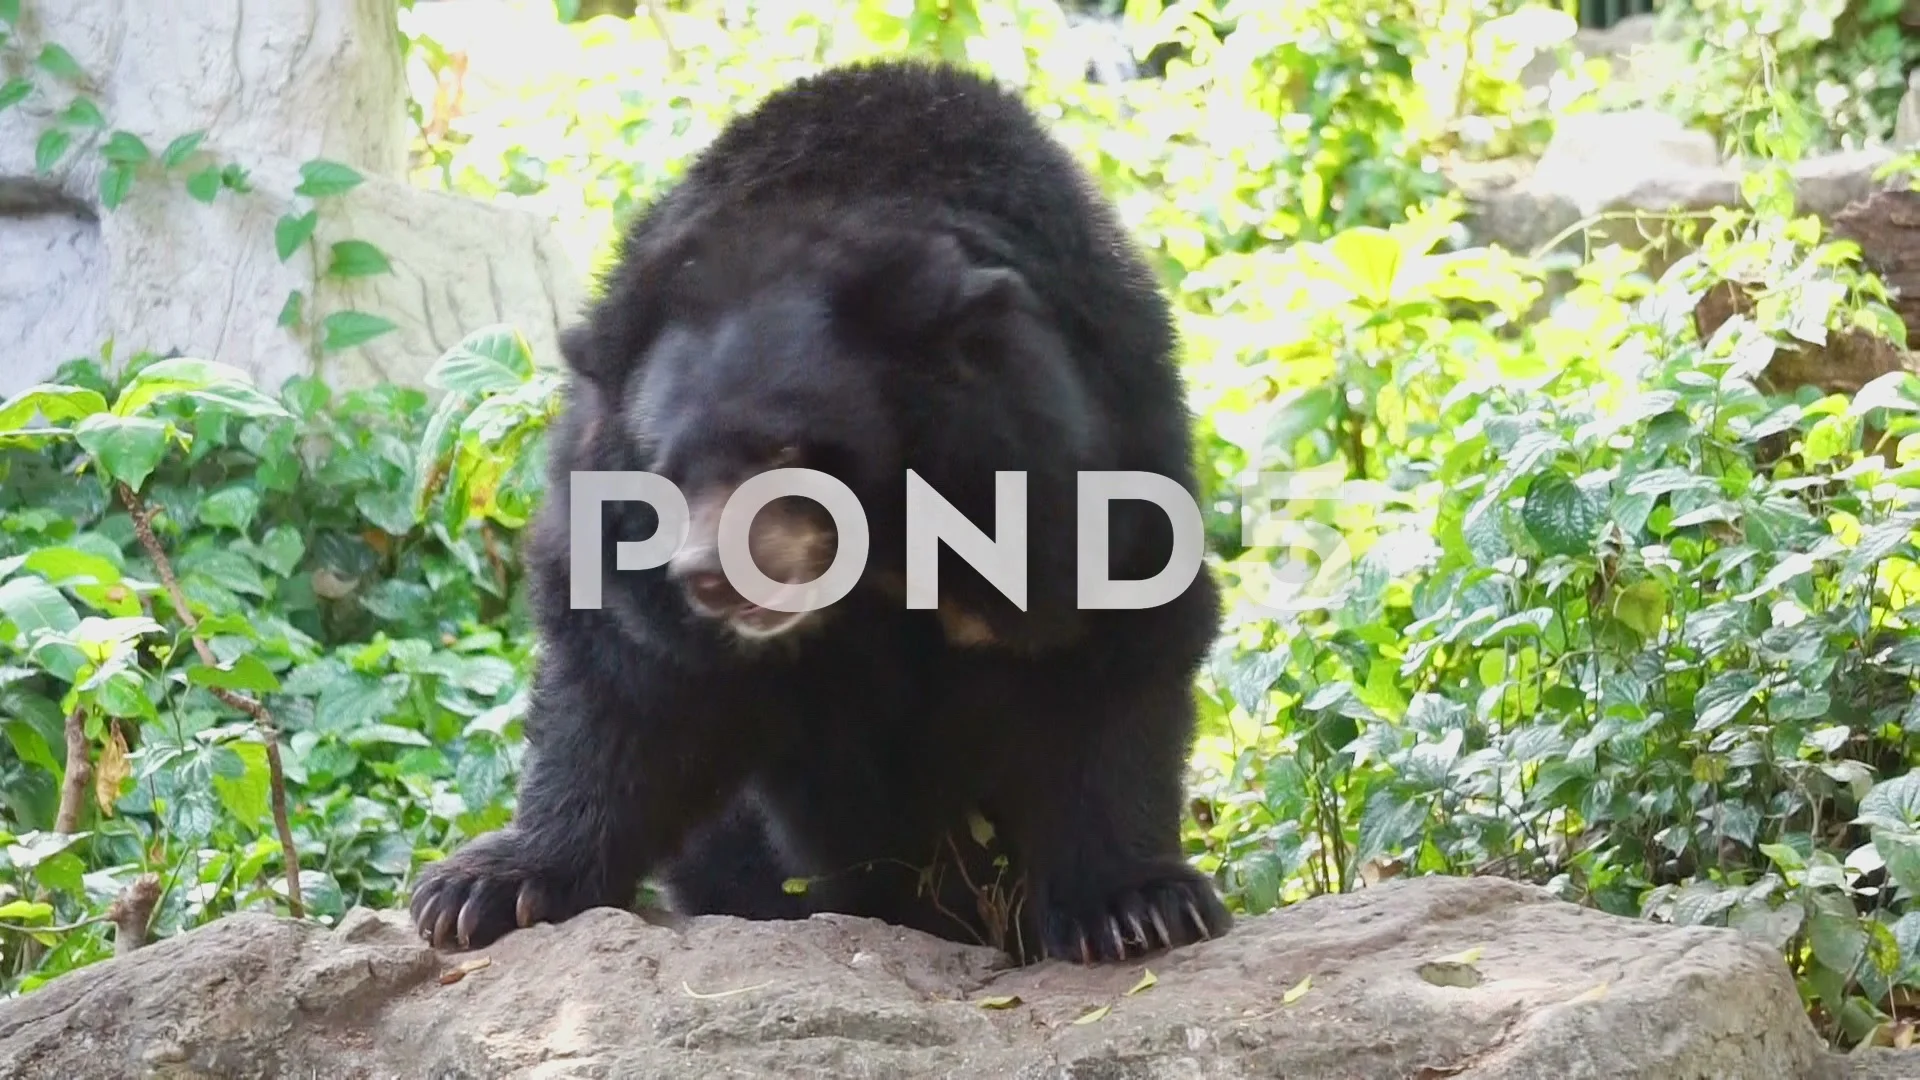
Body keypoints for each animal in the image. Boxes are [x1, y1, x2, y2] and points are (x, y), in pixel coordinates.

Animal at [412, 56, 1236, 957]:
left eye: (782, 451)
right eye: (667, 470)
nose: (709, 577)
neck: (889, 551)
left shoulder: (1082, 449)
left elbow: (1107, 649)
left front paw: (1137, 907)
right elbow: (630, 688)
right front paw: (479, 890)